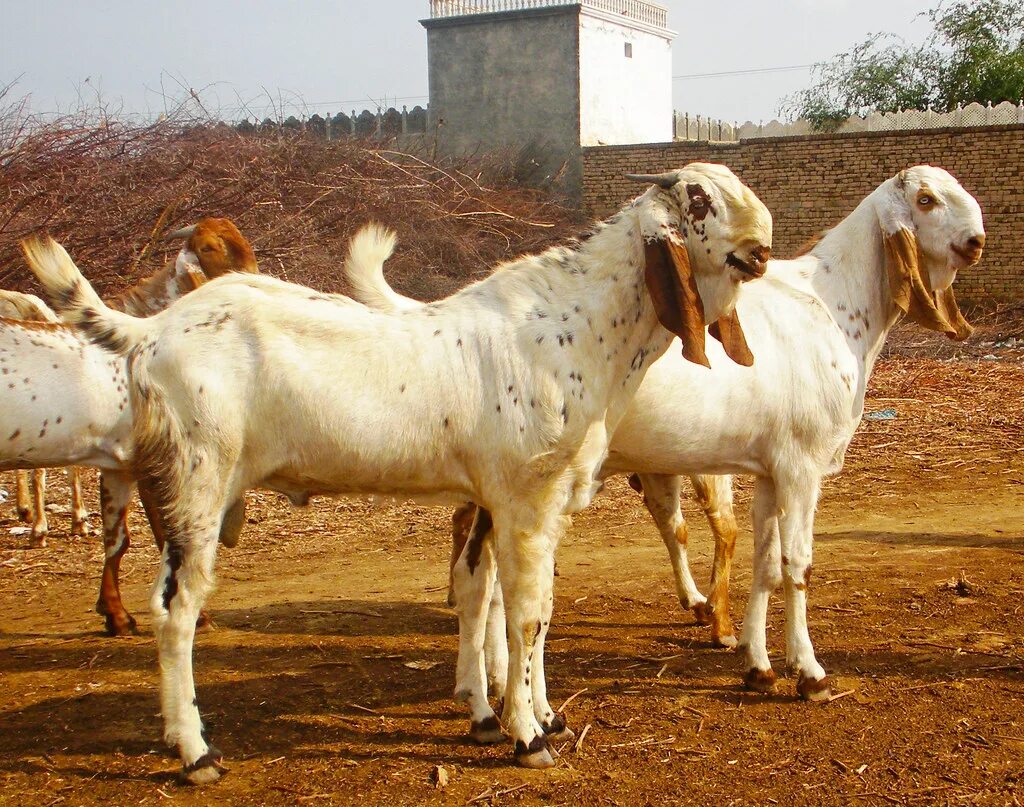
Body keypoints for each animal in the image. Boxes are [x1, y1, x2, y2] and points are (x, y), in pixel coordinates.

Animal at [1, 217, 256, 634]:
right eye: (207, 248)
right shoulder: (157, 466)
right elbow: (166, 534)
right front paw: (195, 615)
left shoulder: (118, 467)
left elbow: (117, 540)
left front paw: (115, 614)